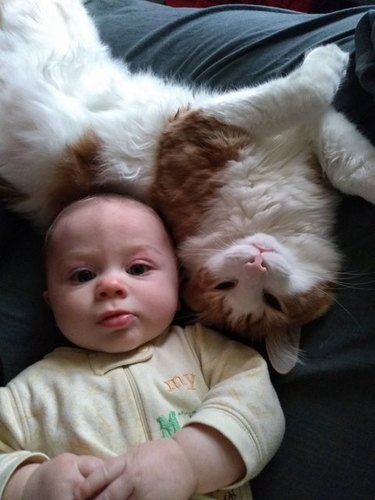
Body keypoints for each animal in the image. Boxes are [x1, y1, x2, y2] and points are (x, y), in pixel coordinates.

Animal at [0, 0, 375, 372]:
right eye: (227, 285)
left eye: (272, 301)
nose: (256, 263)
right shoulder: (198, 128)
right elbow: (303, 92)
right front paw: (330, 55)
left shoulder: (306, 139)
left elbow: (347, 163)